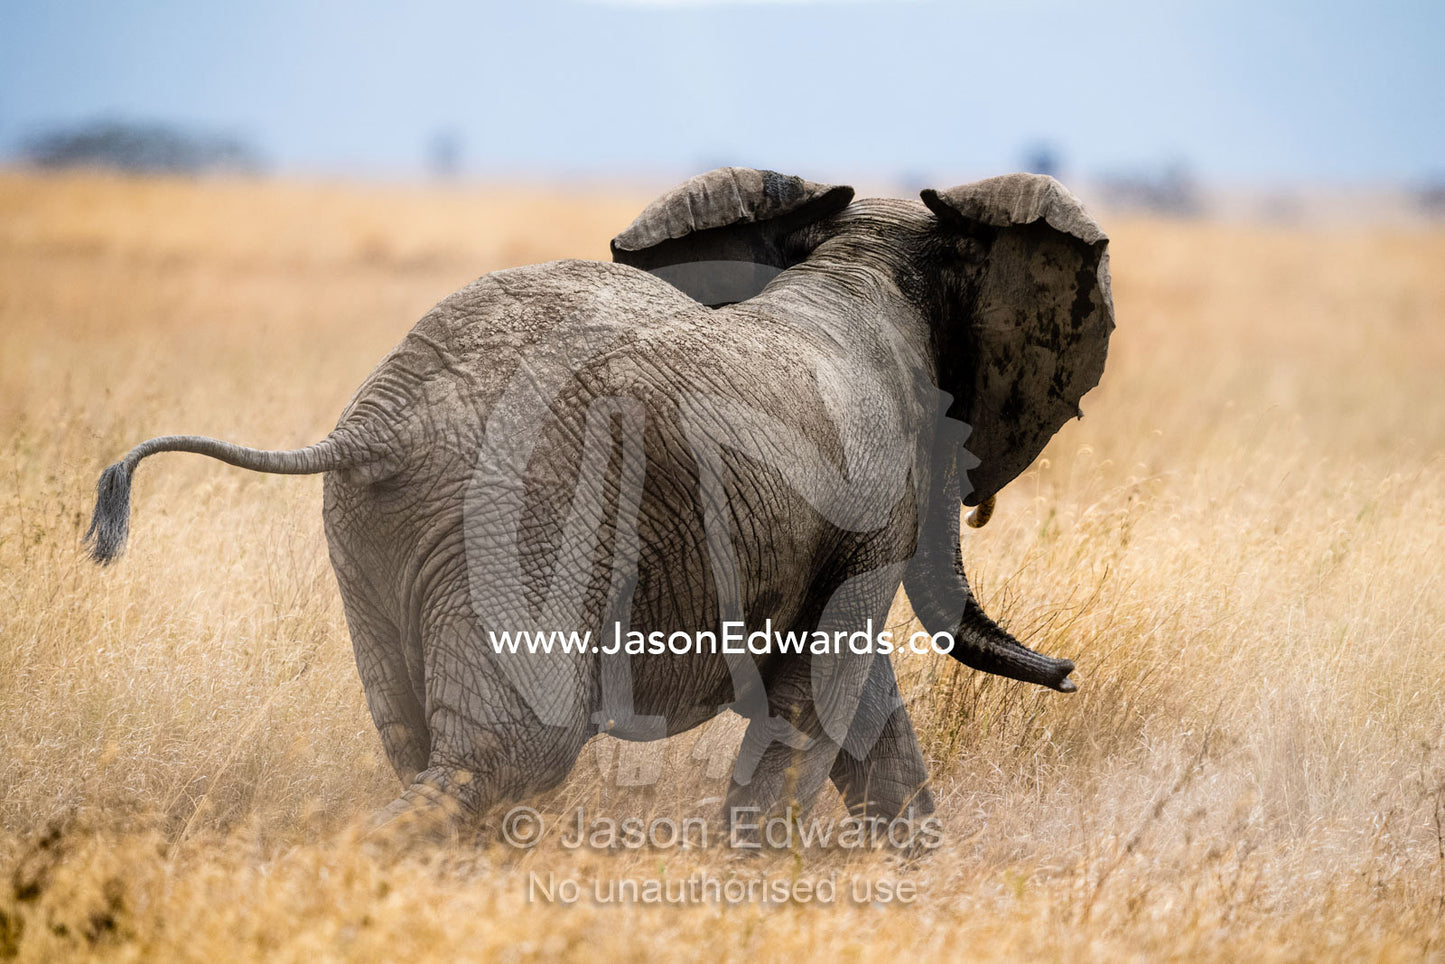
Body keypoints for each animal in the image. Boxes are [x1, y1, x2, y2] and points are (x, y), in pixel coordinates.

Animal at [85, 168, 1113, 841]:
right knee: (510, 753)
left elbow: (860, 708)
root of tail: (383, 419)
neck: (855, 263)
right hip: (525, 515)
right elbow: (822, 697)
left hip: (378, 533)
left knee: (415, 735)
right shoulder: (873, 502)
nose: (1070, 674)